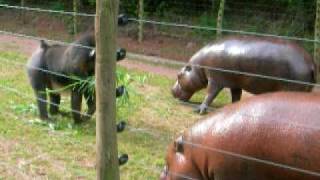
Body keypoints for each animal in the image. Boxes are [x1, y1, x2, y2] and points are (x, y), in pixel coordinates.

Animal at [172, 35, 316, 113]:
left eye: (178, 75)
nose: (171, 90)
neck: (198, 67)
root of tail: (310, 62)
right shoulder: (235, 83)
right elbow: (236, 96)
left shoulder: (215, 79)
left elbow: (210, 94)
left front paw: (199, 109)